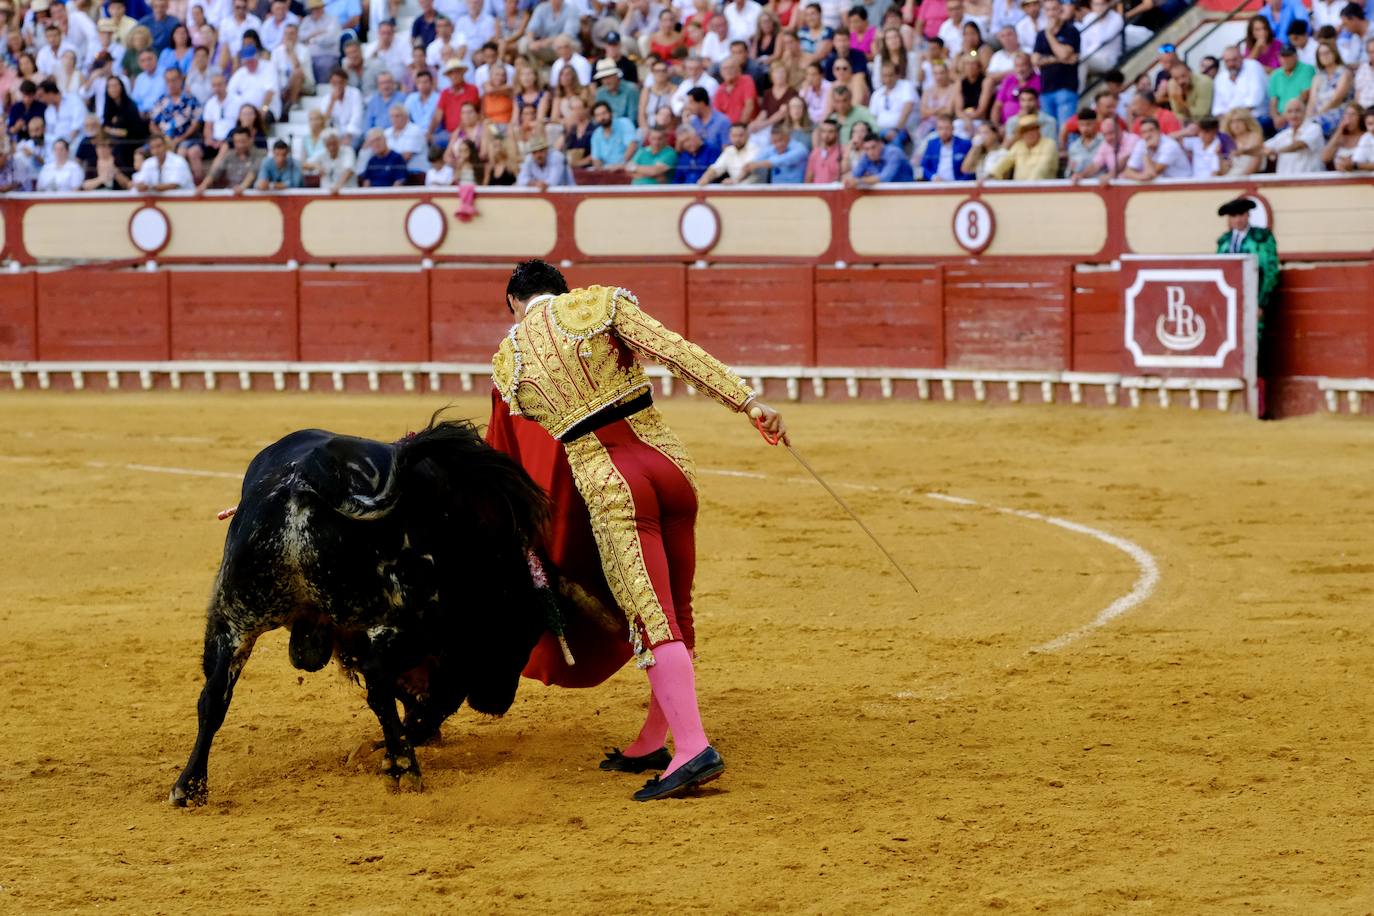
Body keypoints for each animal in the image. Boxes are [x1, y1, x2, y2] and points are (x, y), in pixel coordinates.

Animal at [171, 420, 557, 807]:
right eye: (524, 635)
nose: (498, 701)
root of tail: (310, 474)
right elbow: (435, 697)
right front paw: (398, 745)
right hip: (394, 617)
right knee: (379, 680)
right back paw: (404, 768)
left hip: (235, 617)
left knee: (214, 695)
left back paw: (189, 786)